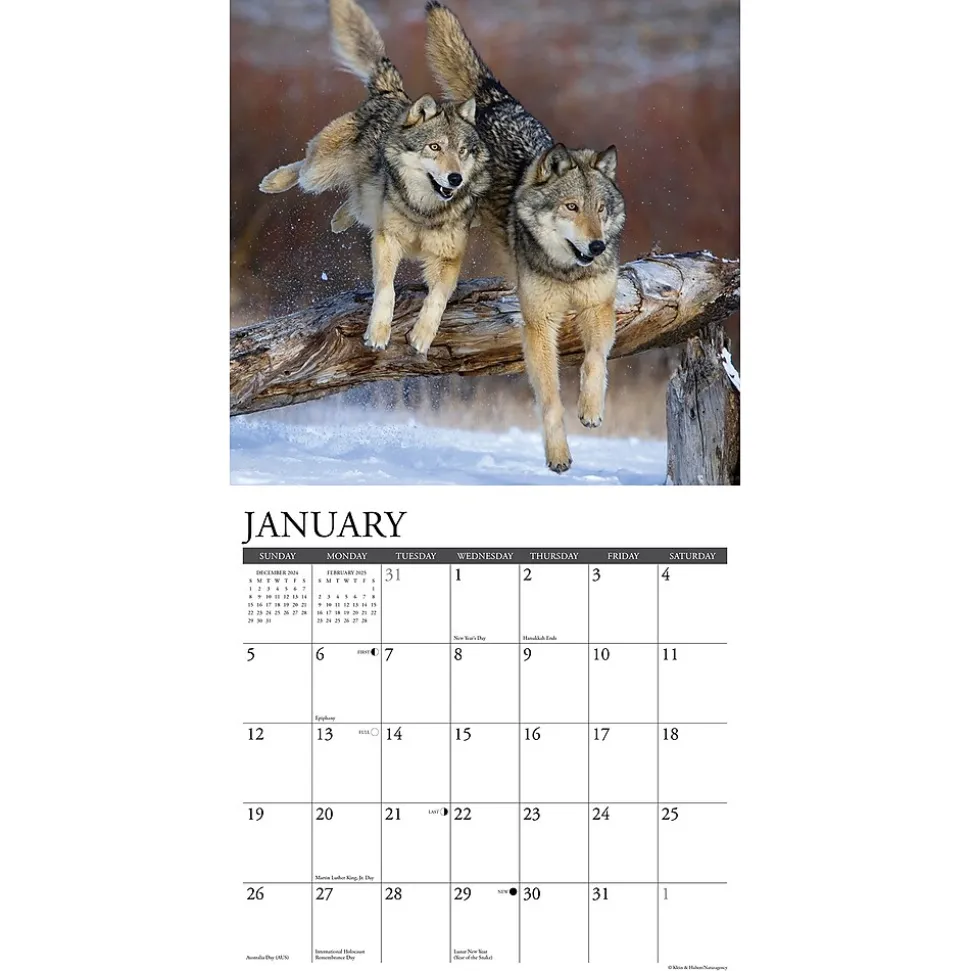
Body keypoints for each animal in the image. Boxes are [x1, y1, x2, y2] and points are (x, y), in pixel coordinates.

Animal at [259, 0, 490, 355]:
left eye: (463, 151)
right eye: (434, 147)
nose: (455, 179)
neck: (423, 212)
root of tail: (392, 93)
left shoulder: (449, 257)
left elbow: (437, 298)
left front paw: (422, 336)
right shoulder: (387, 242)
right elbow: (386, 290)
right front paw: (378, 333)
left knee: (354, 204)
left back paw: (338, 221)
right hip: (319, 173)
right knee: (302, 169)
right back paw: (273, 181)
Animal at [425, 2, 626, 473]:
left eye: (600, 210)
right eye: (571, 208)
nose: (597, 246)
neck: (567, 271)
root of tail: (495, 99)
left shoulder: (599, 305)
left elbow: (595, 359)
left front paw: (591, 408)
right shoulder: (539, 324)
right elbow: (549, 399)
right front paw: (558, 455)